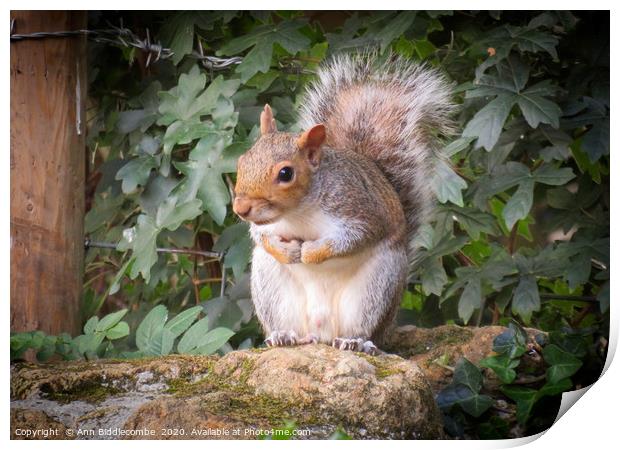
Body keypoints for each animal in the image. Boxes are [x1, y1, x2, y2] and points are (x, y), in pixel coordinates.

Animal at [232, 52, 456, 356]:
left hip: (376, 285)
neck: (298, 212)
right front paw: (287, 250)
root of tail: (320, 333)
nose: (241, 209)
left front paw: (310, 252)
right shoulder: (265, 226)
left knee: (364, 329)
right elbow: (260, 235)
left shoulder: (360, 209)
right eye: (242, 161)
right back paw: (283, 336)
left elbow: (354, 237)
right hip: (270, 285)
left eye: (286, 173)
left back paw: (355, 341)